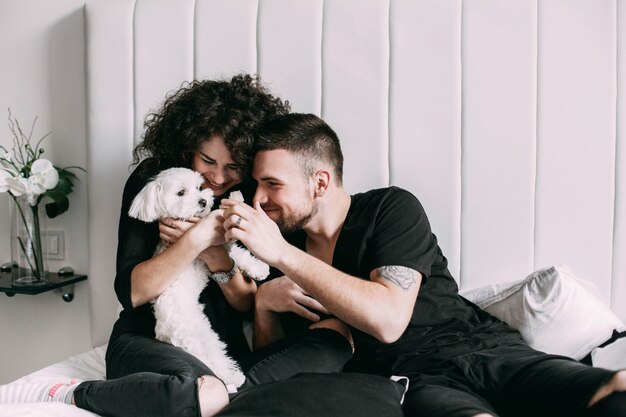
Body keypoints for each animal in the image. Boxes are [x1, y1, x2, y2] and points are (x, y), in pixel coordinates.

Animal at [129, 166, 268, 390]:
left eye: (198, 187)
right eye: (181, 193)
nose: (203, 201)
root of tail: (164, 334)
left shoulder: (215, 255)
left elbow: (237, 256)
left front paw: (258, 268)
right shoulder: (212, 244)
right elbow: (229, 237)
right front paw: (235, 200)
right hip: (200, 334)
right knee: (216, 359)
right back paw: (233, 377)